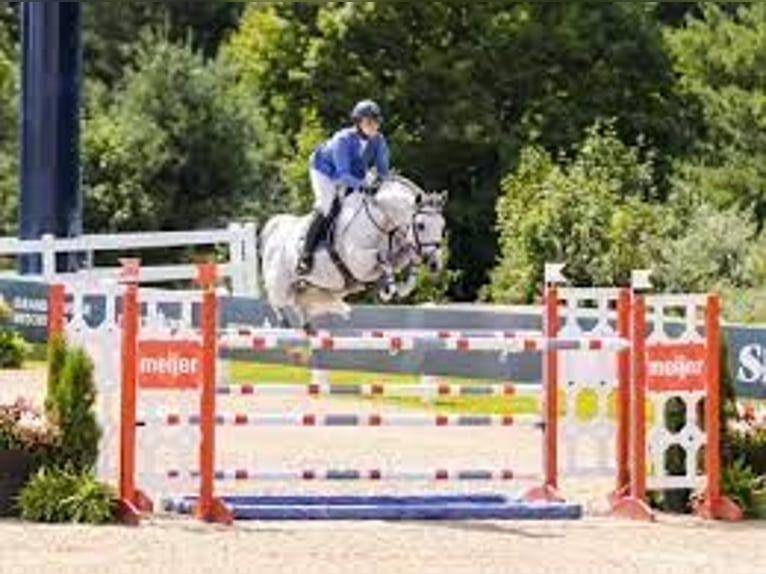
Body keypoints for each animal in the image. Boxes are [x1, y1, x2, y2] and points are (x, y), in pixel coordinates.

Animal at [260, 174, 448, 328]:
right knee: (277, 302)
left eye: (442, 225)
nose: (435, 264)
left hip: (311, 290)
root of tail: (273, 231)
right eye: (421, 225)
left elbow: (404, 267)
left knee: (300, 306)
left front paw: (396, 287)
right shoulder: (358, 262)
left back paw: (308, 328)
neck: (382, 220)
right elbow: (382, 257)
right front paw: (388, 289)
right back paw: (284, 323)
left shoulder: (397, 254)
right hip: (280, 287)